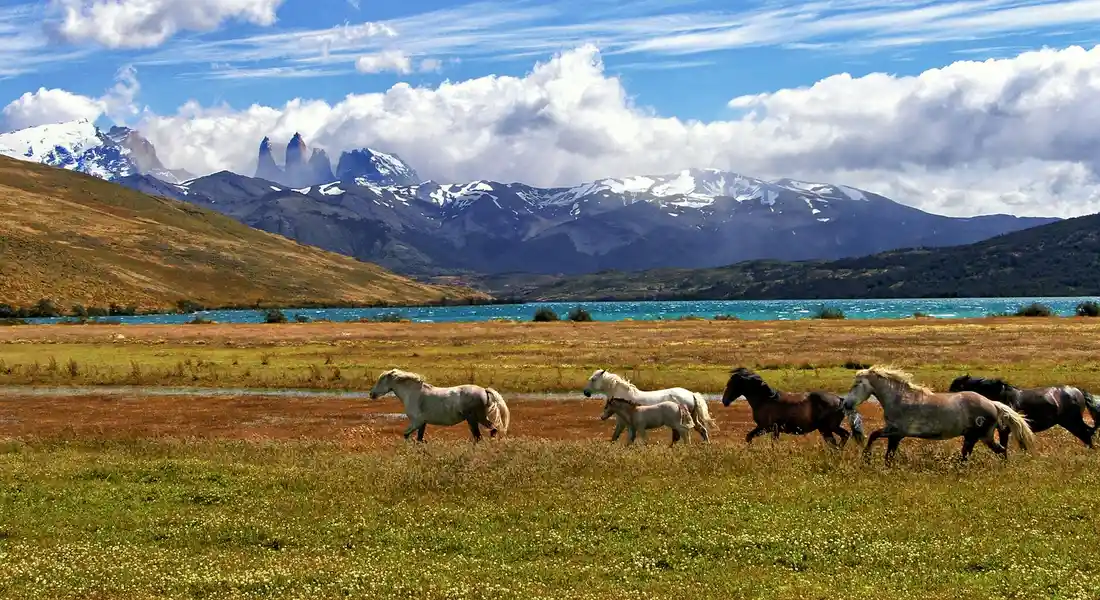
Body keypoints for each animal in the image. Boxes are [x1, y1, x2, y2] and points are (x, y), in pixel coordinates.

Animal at [369, 368, 510, 442]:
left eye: (381, 380)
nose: (371, 394)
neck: (413, 394)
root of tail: (484, 390)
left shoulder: (416, 422)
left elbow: (406, 435)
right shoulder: (422, 423)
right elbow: (419, 439)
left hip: (474, 419)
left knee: (481, 436)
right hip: (479, 419)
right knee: (492, 430)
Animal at [583, 369, 717, 442]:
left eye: (593, 379)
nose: (586, 392)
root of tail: (691, 394)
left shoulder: (622, 422)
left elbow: (615, 436)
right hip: (692, 417)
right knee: (702, 430)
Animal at [721, 367, 865, 447]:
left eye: (731, 384)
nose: (724, 401)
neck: (765, 400)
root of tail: (840, 400)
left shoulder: (766, 428)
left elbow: (751, 437)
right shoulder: (772, 430)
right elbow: (752, 438)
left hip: (828, 428)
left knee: (841, 439)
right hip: (828, 428)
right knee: (842, 437)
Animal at [841, 365, 1036, 464]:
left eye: (857, 384)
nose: (846, 403)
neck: (900, 399)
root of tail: (993, 404)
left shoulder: (896, 431)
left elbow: (874, 436)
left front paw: (866, 457)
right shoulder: (895, 435)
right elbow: (888, 453)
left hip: (978, 436)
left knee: (991, 452)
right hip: (978, 437)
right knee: (993, 451)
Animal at [949, 374, 1100, 449]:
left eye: (955, 389)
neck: (1001, 397)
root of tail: (1078, 391)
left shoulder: (1004, 430)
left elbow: (1004, 447)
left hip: (1072, 422)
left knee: (1086, 434)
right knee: (1087, 434)